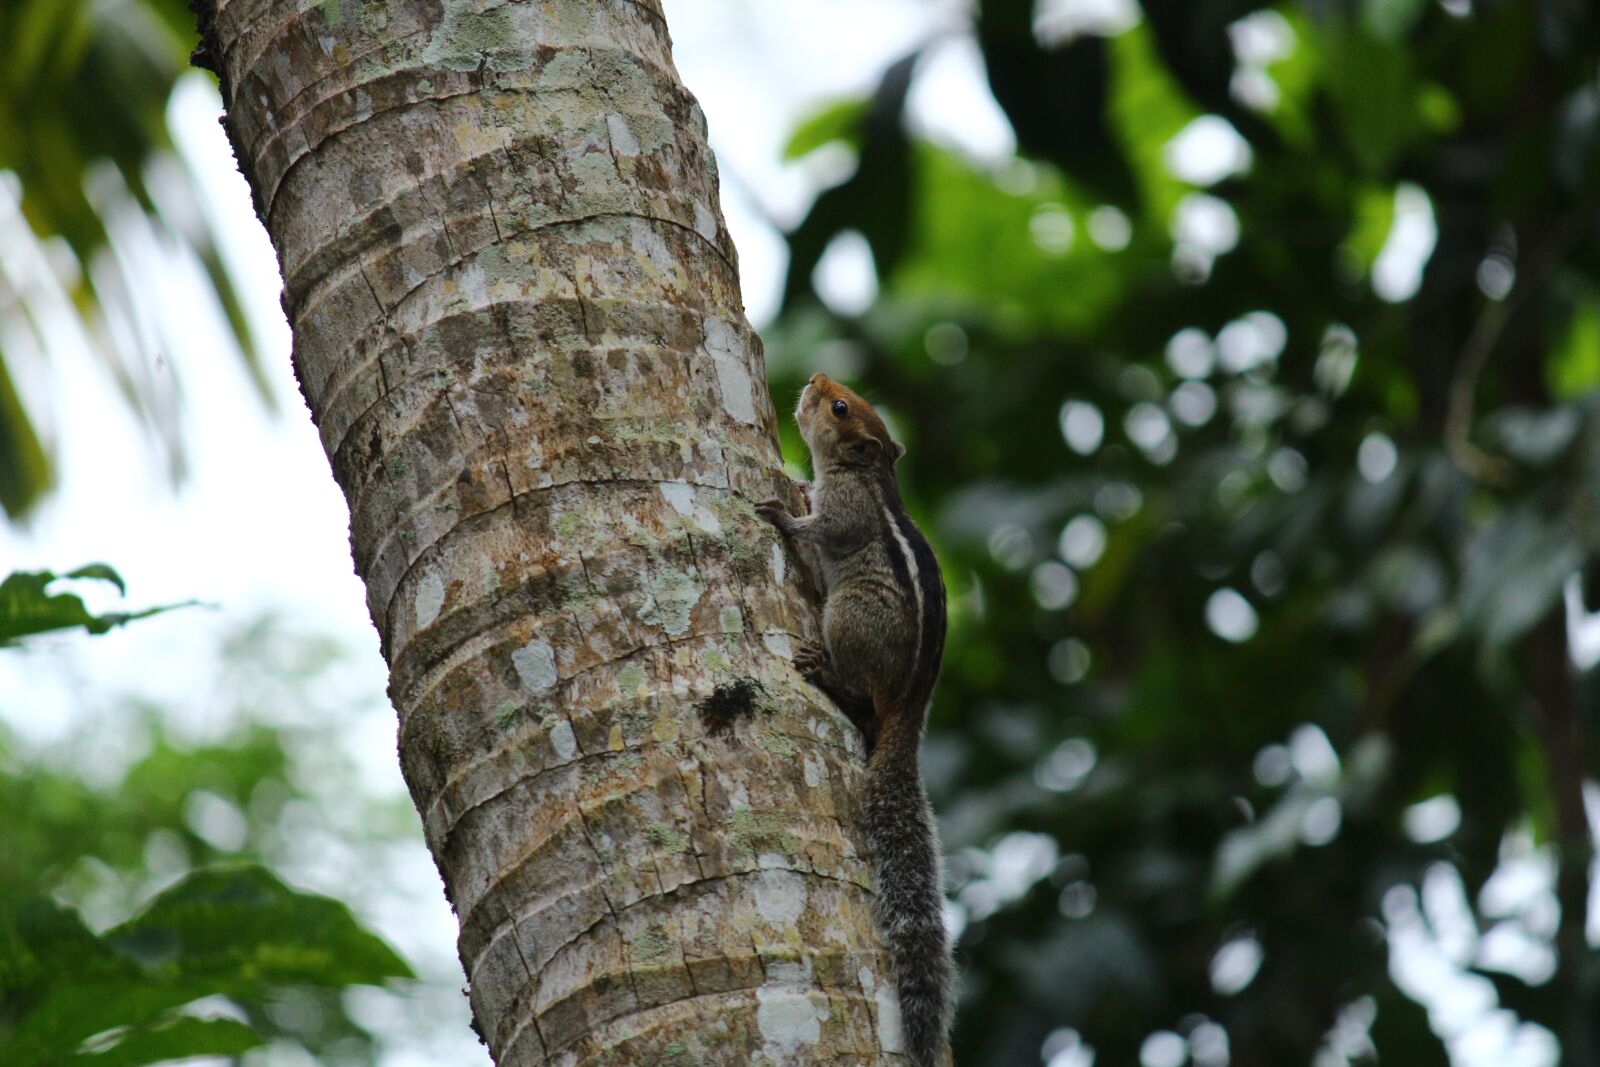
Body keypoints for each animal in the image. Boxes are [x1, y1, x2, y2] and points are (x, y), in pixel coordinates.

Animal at [757, 372, 953, 1067]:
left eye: (840, 408)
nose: (816, 379)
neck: (866, 472)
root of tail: (910, 704)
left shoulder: (845, 508)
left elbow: (825, 528)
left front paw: (786, 511)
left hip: (848, 617)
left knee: (859, 693)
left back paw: (825, 673)